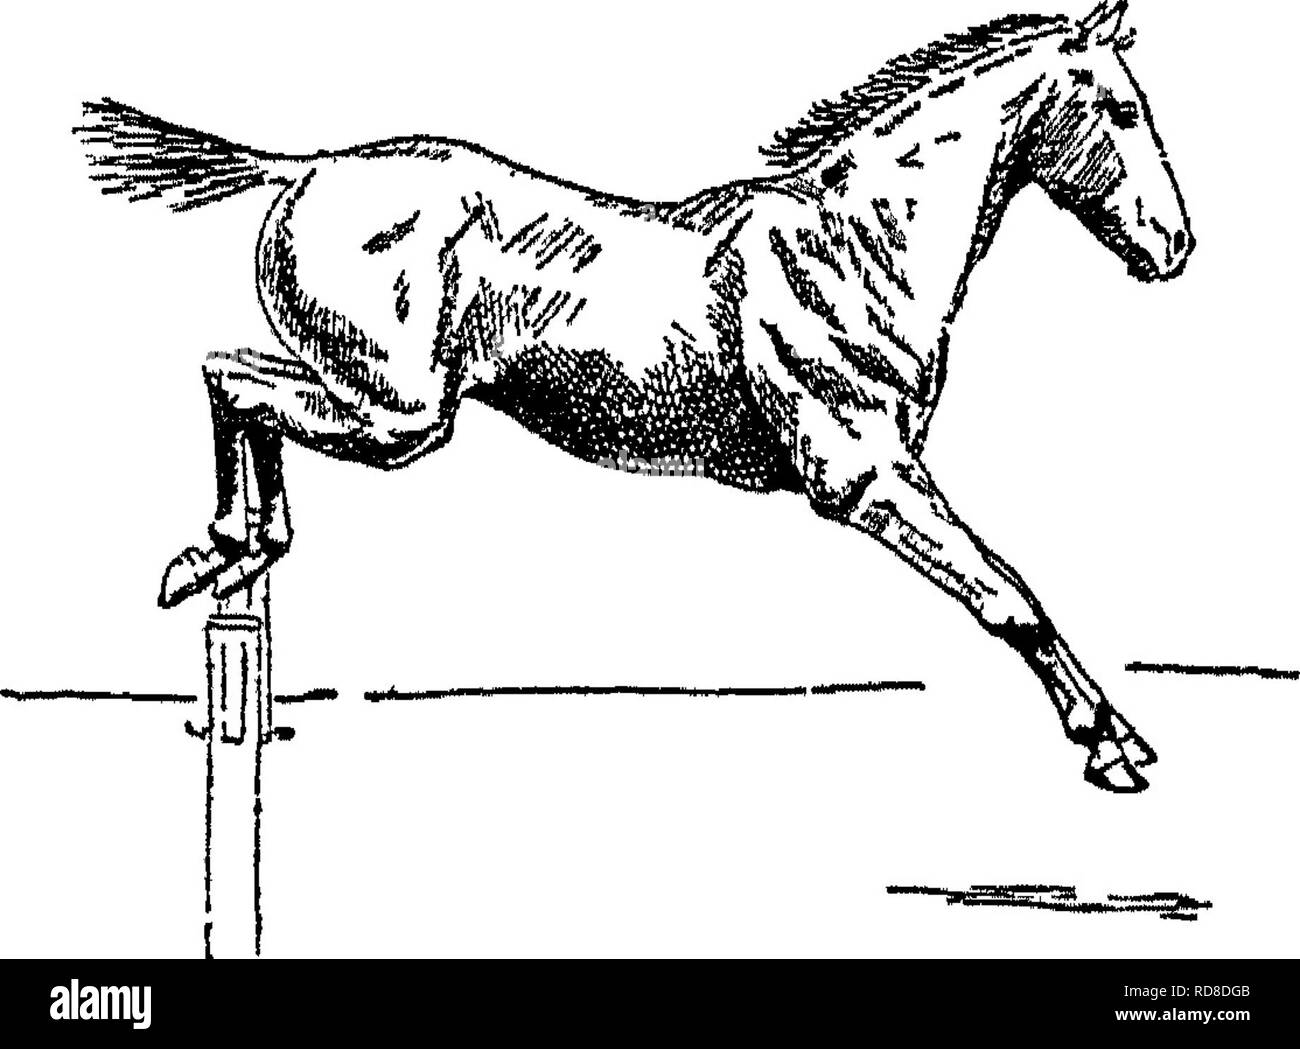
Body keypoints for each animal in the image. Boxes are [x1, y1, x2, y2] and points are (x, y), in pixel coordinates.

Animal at [74, 0, 1192, 793]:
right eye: (1124, 109)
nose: (1175, 243)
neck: (857, 243)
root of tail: (302, 166)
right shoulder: (863, 473)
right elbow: (1009, 595)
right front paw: (1112, 746)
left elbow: (1007, 589)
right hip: (398, 412)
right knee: (229, 376)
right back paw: (219, 551)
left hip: (385, 408)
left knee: (233, 378)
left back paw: (234, 550)